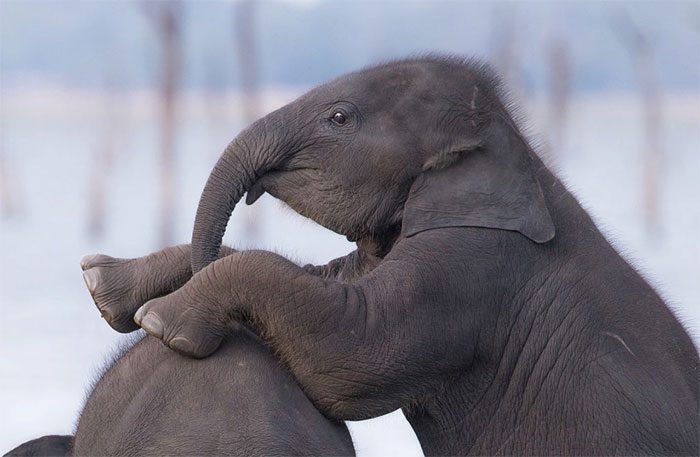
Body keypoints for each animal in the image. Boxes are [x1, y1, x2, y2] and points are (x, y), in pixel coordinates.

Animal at [91, 55, 696, 454]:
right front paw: (102, 285)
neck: (512, 147)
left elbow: (351, 351)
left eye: (339, 118)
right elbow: (326, 282)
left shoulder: (469, 271)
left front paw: (162, 321)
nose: (199, 266)